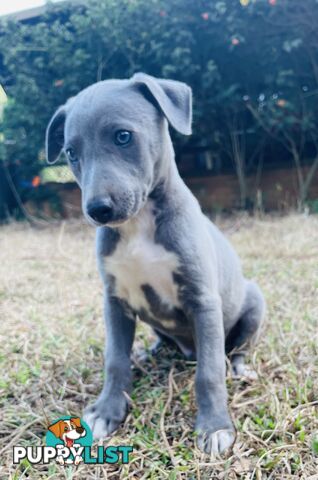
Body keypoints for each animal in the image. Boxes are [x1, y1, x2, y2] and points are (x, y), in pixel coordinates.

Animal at [45, 73, 266, 456]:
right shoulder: (114, 300)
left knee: (235, 349)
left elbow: (210, 371)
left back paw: (240, 368)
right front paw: (107, 411)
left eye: (123, 136)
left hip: (253, 302)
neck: (139, 225)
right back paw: (149, 353)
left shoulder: (203, 300)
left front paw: (214, 427)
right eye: (71, 152)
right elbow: (115, 359)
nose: (97, 210)